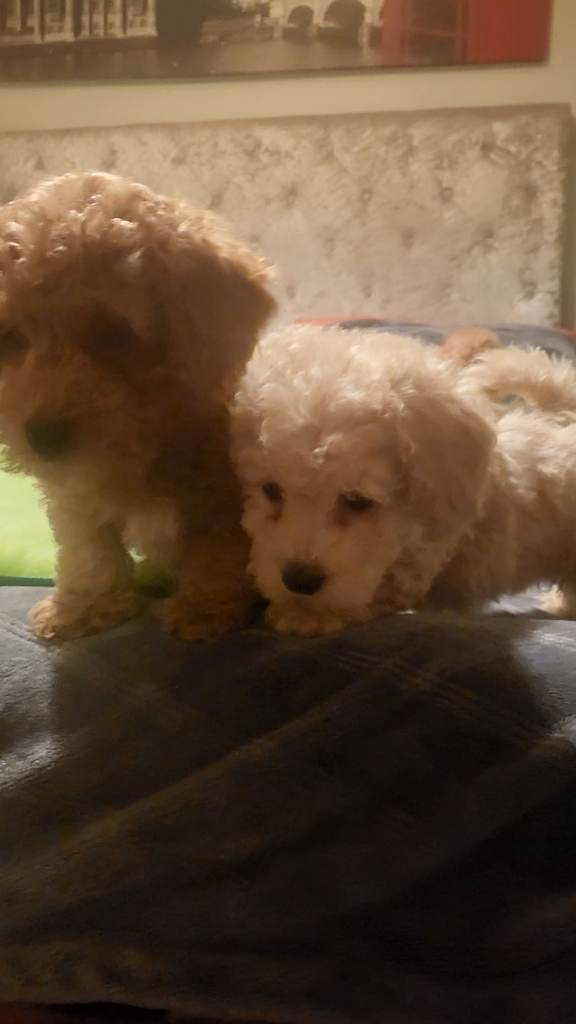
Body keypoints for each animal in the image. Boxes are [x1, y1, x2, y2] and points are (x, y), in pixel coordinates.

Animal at [0, 172, 275, 641]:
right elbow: (87, 545)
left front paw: (204, 607)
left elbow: (217, 547)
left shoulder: (220, 495)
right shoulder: (75, 493)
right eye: (11, 338)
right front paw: (86, 606)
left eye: (115, 332)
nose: (42, 436)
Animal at [231, 324, 576, 635]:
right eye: (271, 489)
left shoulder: (421, 558)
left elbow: (379, 591)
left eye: (358, 500)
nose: (300, 582)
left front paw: (309, 616)